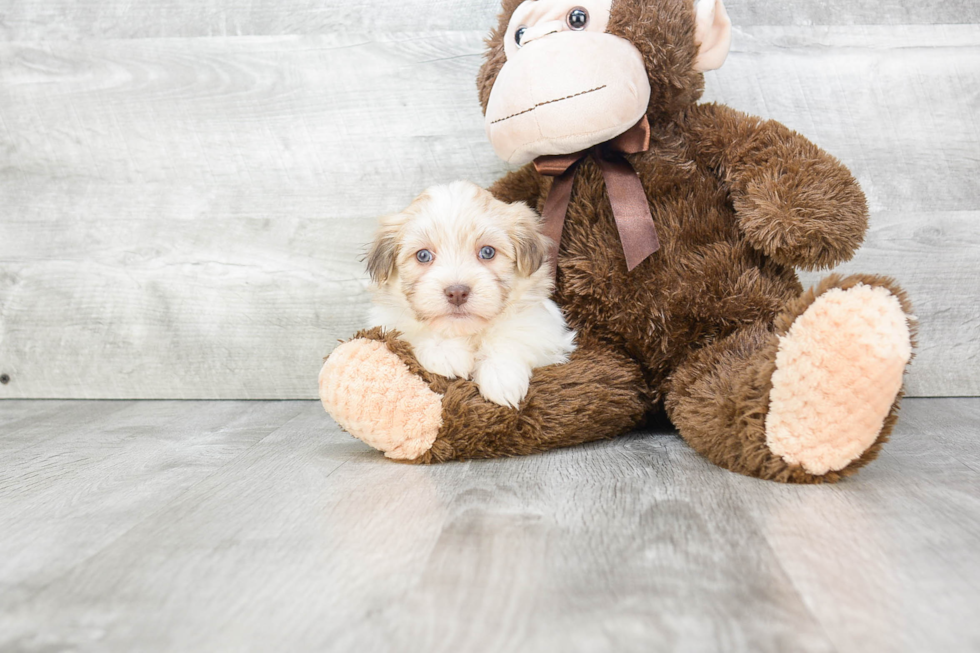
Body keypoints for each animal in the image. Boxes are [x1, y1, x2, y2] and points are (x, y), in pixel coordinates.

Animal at [368, 181, 576, 404]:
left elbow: (513, 334)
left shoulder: (546, 330)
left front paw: (501, 374)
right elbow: (413, 329)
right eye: (423, 255)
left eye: (487, 252)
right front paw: (445, 351)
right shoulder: (388, 322)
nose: (457, 292)